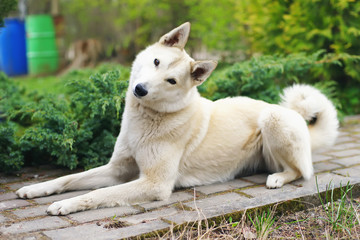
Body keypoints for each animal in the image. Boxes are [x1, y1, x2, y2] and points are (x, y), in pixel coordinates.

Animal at [15, 22, 338, 215]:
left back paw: (278, 178)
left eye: (171, 81)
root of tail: (298, 119)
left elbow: (99, 194)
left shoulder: (154, 183)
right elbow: (69, 178)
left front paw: (65, 204)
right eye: (156, 61)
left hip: (273, 119)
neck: (148, 119)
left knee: (301, 171)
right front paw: (37, 189)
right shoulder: (117, 169)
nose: (140, 90)